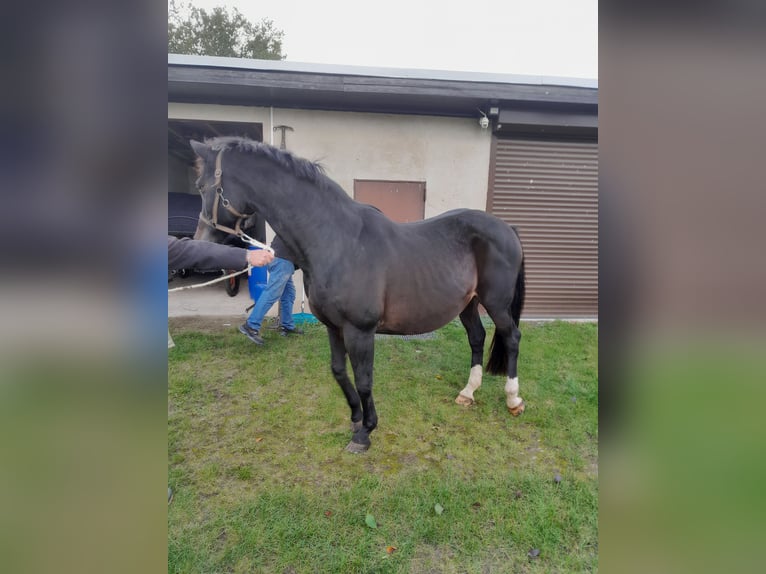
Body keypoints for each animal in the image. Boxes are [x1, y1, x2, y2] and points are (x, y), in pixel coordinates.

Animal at [192, 137, 528, 452]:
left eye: (202, 186)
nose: (200, 239)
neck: (338, 241)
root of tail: (507, 228)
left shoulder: (360, 330)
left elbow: (365, 380)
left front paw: (365, 432)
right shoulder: (334, 327)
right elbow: (339, 372)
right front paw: (355, 417)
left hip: (496, 302)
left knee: (511, 337)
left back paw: (513, 400)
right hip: (468, 303)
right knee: (477, 338)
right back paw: (467, 393)